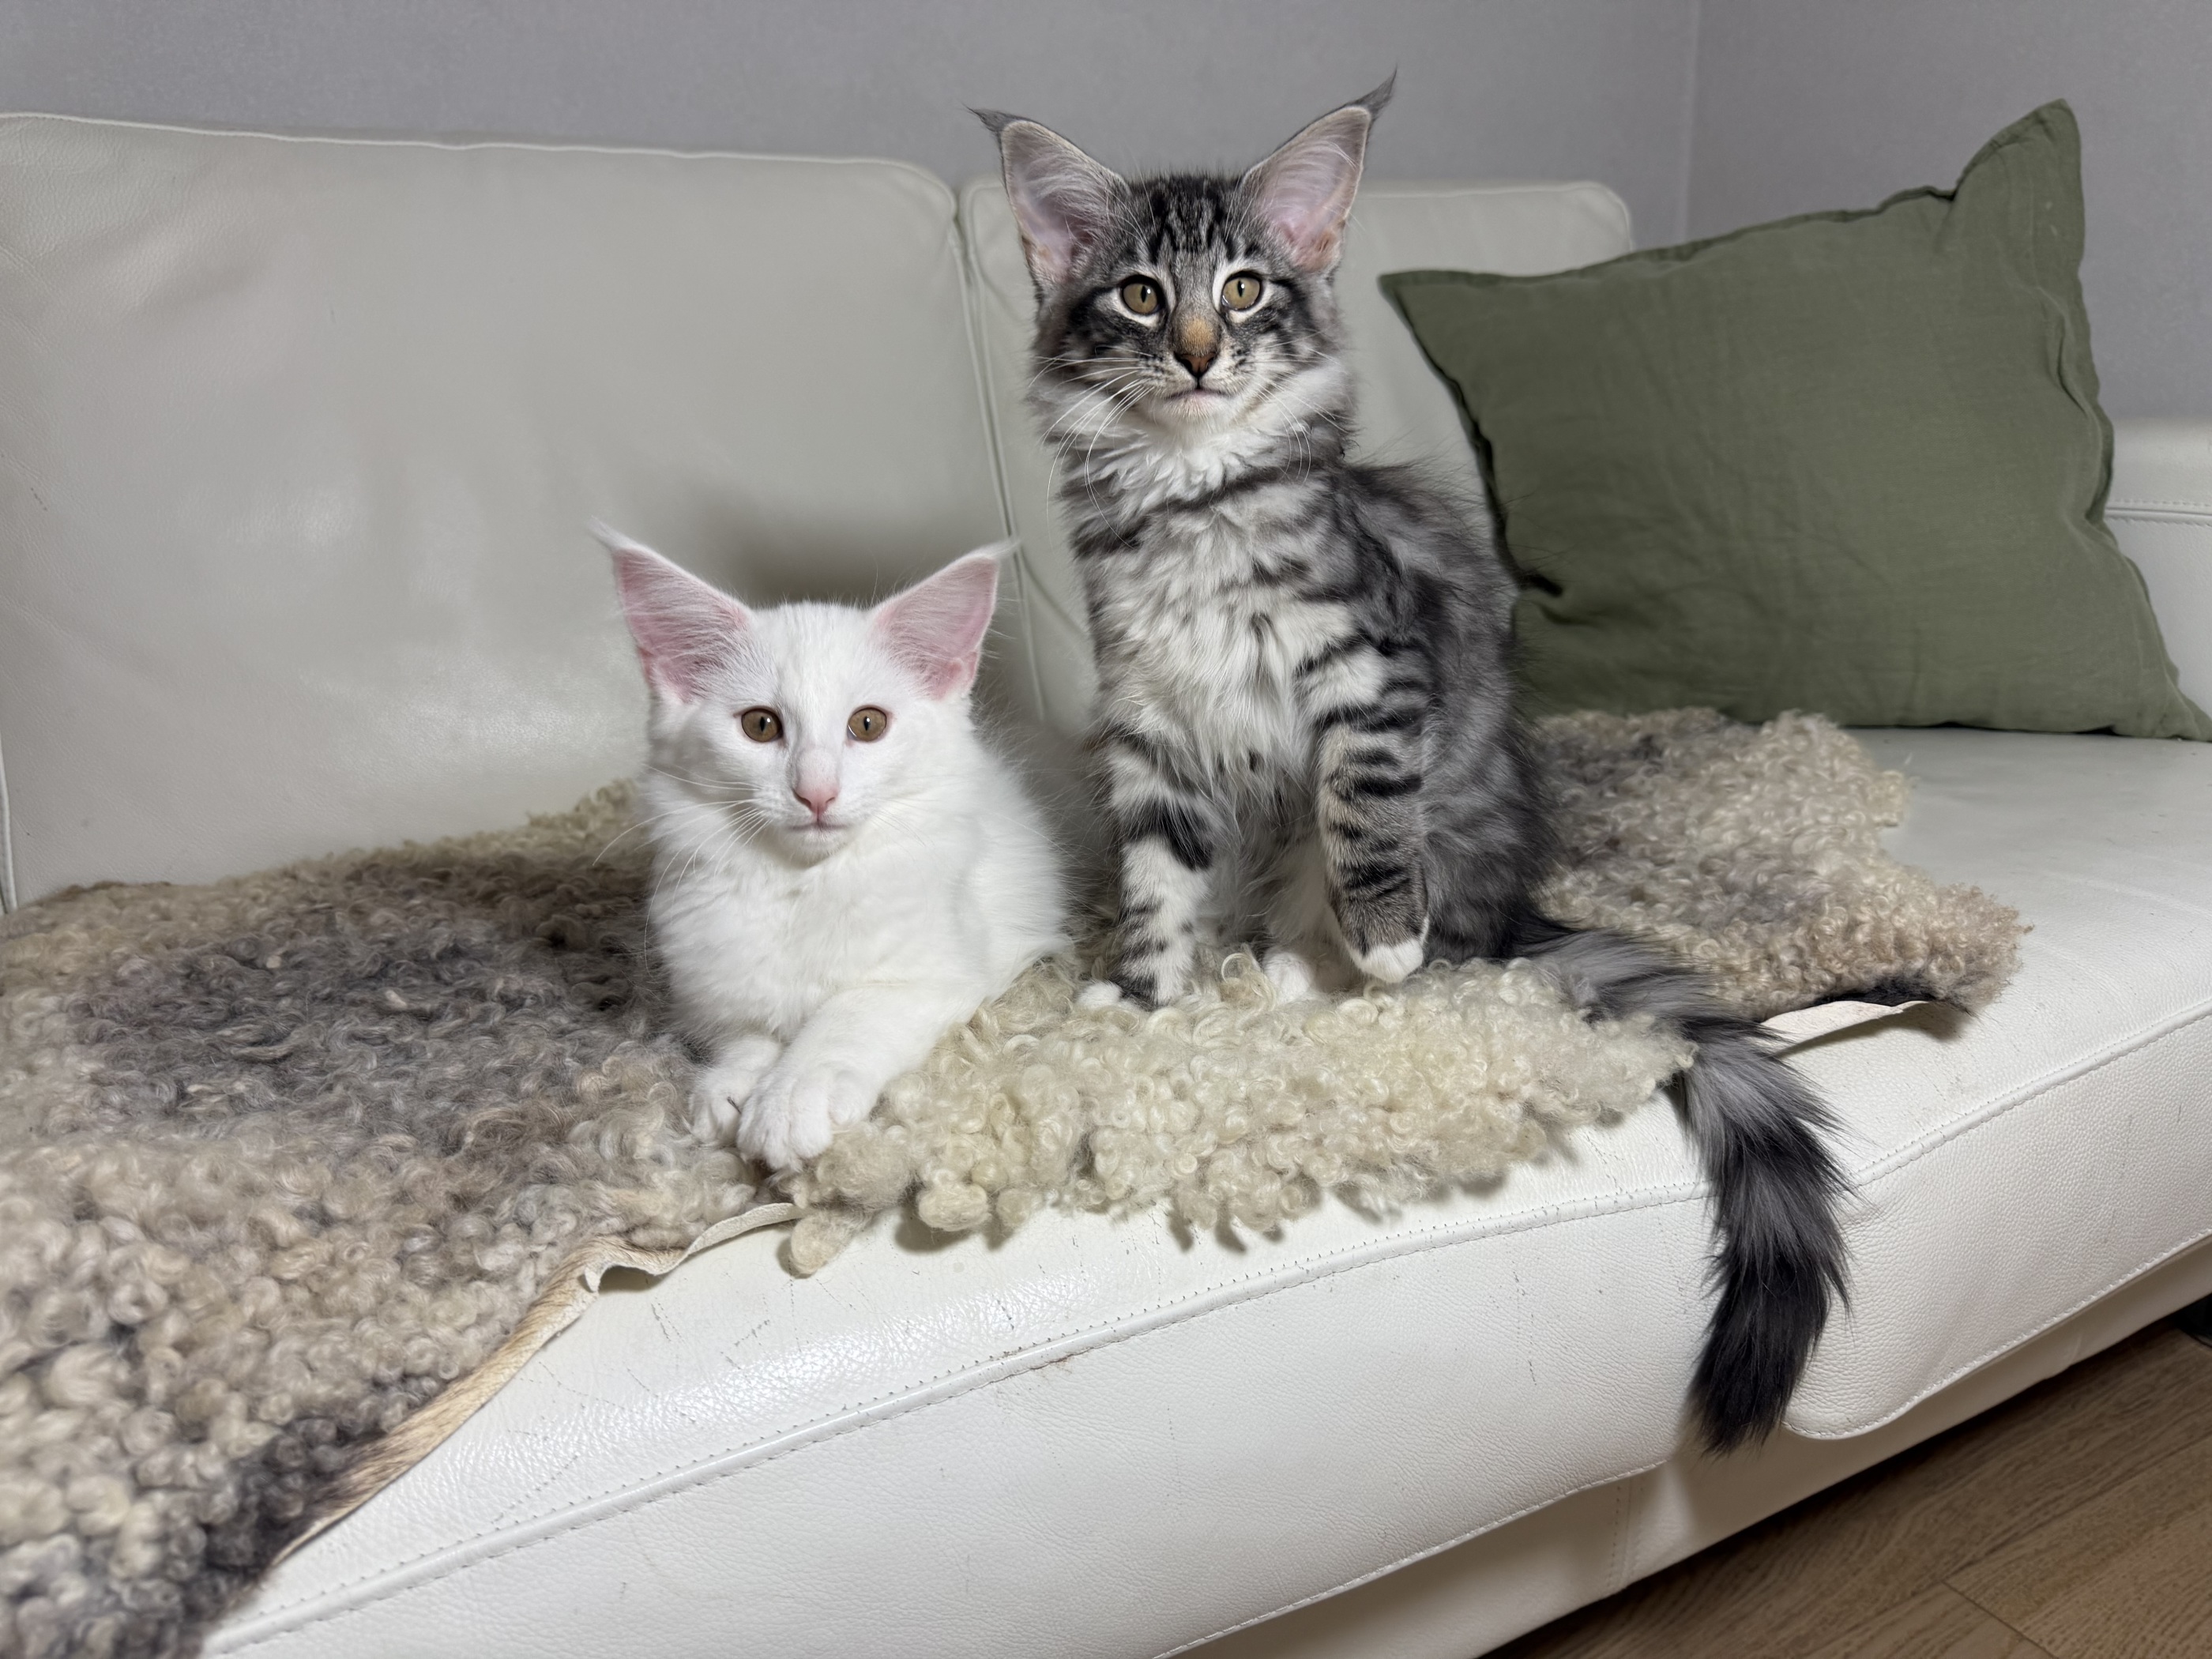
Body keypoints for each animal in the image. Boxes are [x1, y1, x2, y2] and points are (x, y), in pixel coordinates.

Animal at [600, 525, 1068, 1171]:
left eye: (868, 725)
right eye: (761, 726)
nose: (816, 791)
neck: (803, 884)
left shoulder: (946, 971)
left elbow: (846, 1016)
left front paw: (792, 1097)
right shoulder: (715, 983)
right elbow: (749, 1032)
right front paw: (731, 1088)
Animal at [983, 82, 1848, 1450]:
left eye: (1242, 290)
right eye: (1138, 295)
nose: (1197, 353)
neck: (1192, 503)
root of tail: (1521, 903)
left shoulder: (1372, 673)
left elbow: (1361, 814)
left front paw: (1377, 937)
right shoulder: (1152, 728)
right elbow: (1159, 882)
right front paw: (1144, 998)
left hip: (1451, 842)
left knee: (1422, 936)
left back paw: (1315, 970)